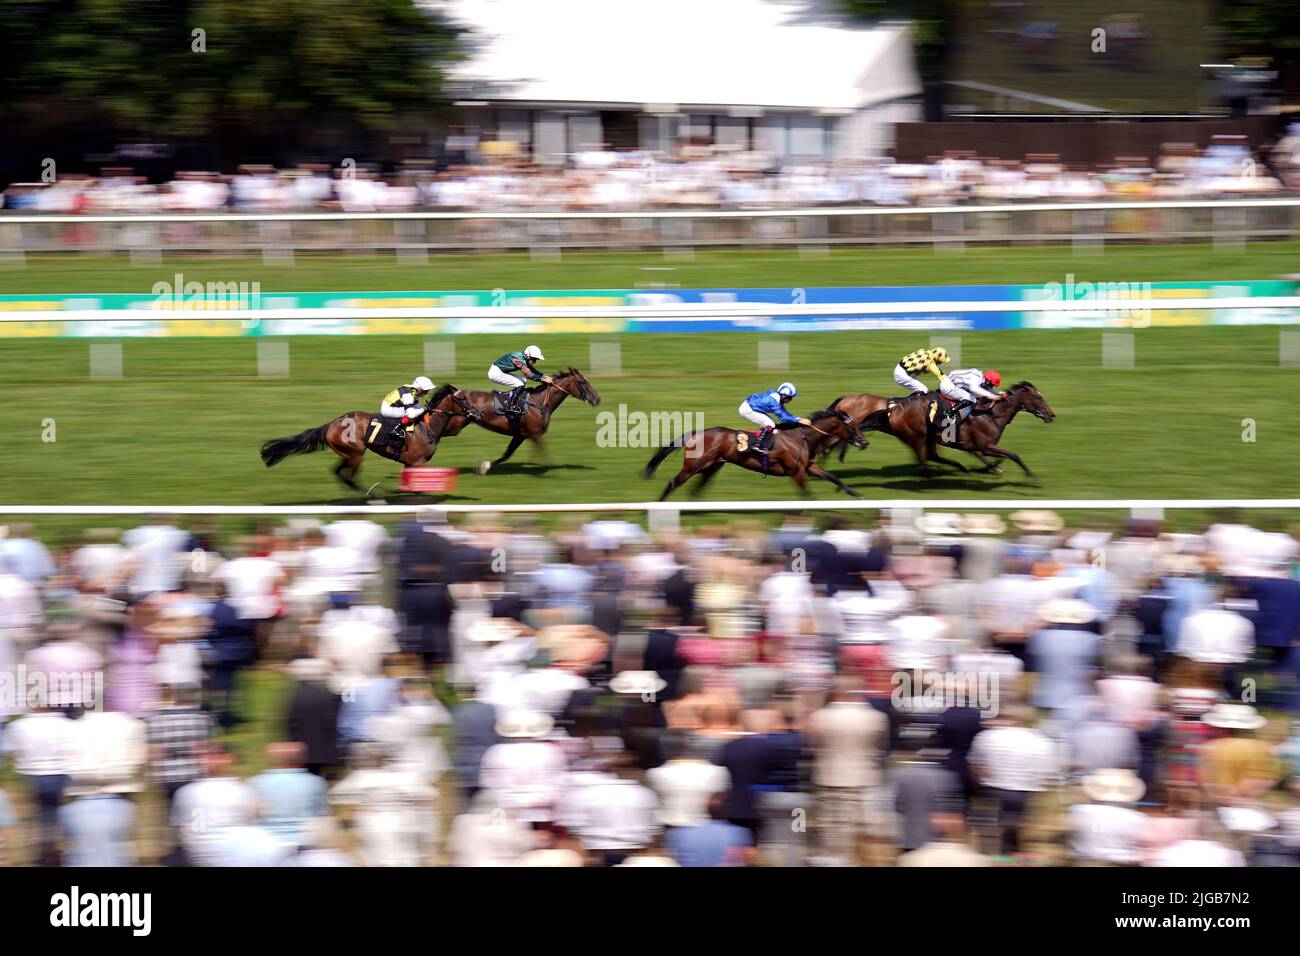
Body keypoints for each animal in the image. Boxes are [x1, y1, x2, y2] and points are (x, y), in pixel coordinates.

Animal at [256, 382, 475, 489]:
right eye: (464, 399)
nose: (477, 413)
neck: (427, 427)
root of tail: (331, 424)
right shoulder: (417, 462)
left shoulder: (410, 463)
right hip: (355, 454)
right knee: (348, 477)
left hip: (348, 454)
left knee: (337, 472)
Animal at [434, 366, 600, 476]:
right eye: (582, 382)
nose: (598, 399)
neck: (539, 402)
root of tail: (456, 393)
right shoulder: (535, 435)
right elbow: (544, 453)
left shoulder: (521, 435)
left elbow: (507, 454)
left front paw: (484, 467)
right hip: (454, 425)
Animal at [644, 408, 868, 504]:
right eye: (852, 426)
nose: (864, 442)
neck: (801, 436)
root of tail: (696, 433)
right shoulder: (796, 472)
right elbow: (808, 496)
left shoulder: (808, 467)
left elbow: (833, 477)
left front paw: (857, 495)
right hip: (693, 466)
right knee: (673, 483)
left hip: (711, 468)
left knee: (694, 491)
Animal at [863, 377, 1055, 476]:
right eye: (1037, 397)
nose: (1051, 415)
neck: (991, 414)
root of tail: (894, 409)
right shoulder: (986, 446)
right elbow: (1012, 455)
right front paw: (1029, 475)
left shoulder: (976, 445)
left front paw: (994, 466)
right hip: (918, 436)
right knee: (925, 458)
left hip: (927, 438)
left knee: (930, 456)